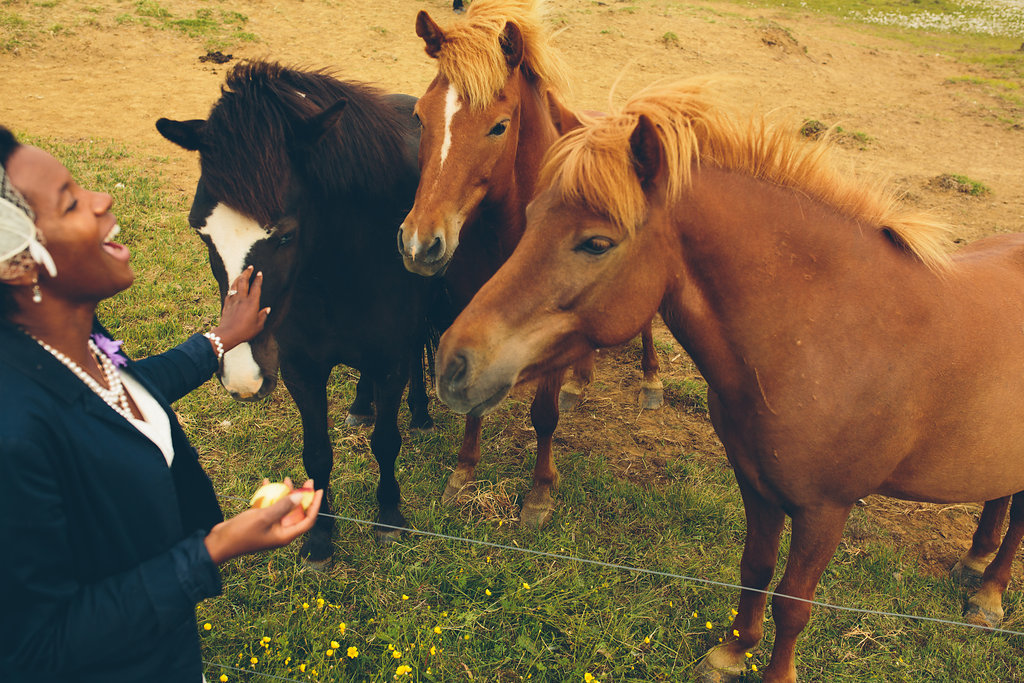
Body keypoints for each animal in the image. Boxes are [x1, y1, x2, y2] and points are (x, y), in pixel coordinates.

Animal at [391, 0, 663, 528]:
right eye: (418, 116)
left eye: (499, 126)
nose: (419, 245)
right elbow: (473, 404)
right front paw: (463, 473)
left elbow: (544, 415)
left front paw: (538, 495)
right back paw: (582, 380)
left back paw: (651, 381)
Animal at [432, 78, 1024, 683]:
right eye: (531, 218)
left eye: (596, 242)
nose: (453, 362)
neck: (830, 333)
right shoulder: (756, 484)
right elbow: (755, 568)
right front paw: (733, 652)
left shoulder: (824, 511)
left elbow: (793, 603)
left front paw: (776, 672)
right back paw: (976, 560)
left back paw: (988, 595)